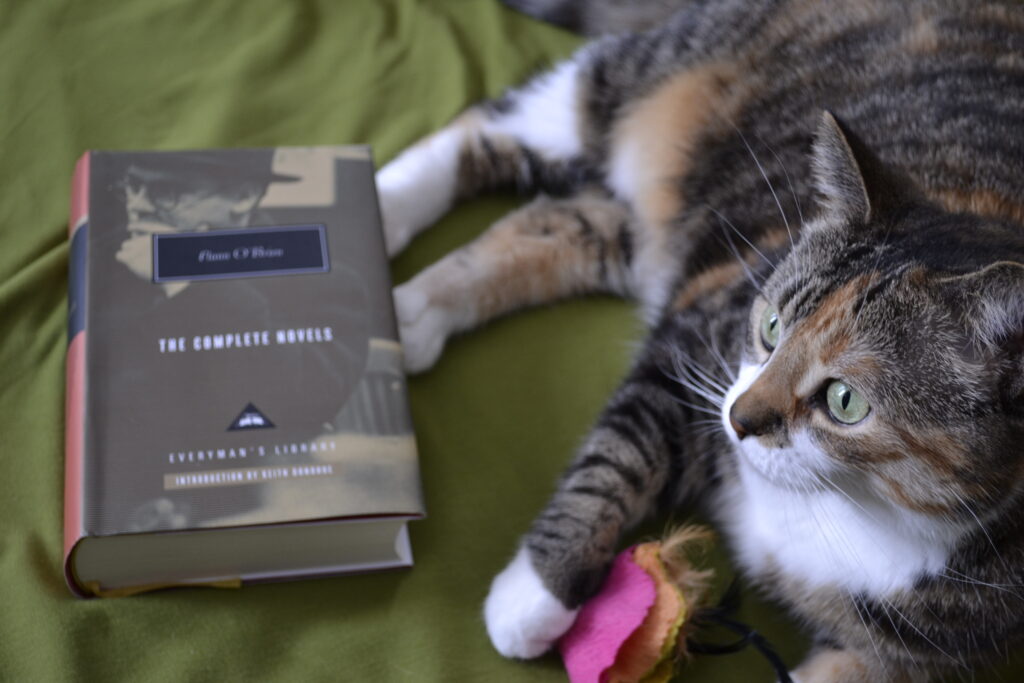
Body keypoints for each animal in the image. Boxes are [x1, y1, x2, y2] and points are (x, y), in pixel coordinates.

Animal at [374, 2, 1024, 679]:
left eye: (845, 401)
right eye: (770, 327)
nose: (738, 419)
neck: (844, 511)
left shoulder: (903, 660)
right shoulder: (697, 335)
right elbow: (616, 458)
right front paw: (535, 595)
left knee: (558, 223)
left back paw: (414, 313)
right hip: (655, 77)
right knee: (503, 123)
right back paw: (376, 203)